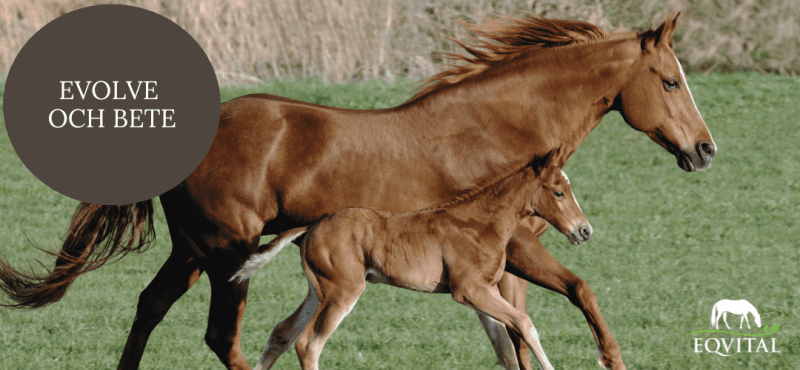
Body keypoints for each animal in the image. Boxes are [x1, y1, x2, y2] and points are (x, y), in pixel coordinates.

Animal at [231, 148, 588, 370]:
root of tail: (312, 226)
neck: (483, 222)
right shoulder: (469, 290)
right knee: (308, 344)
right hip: (342, 292)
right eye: (558, 192)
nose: (584, 230)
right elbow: (525, 324)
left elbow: (505, 348)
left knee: (282, 332)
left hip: (317, 291)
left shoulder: (482, 293)